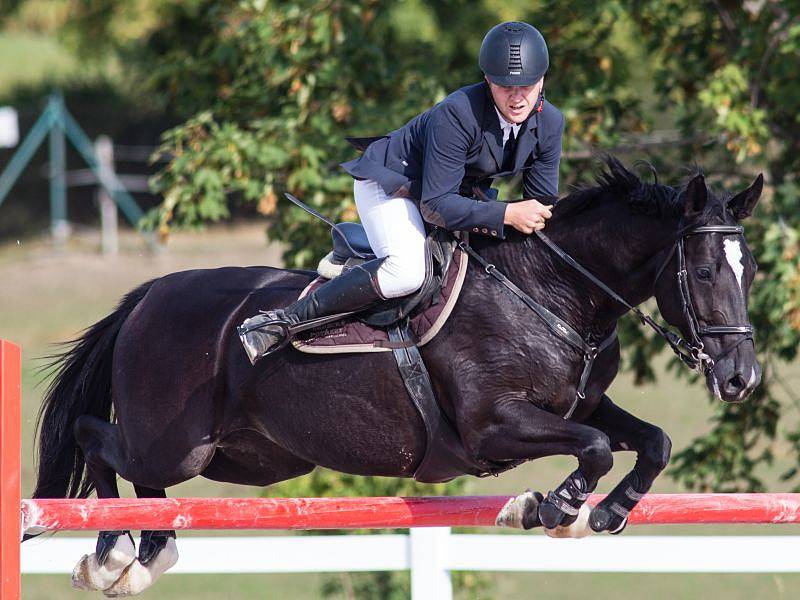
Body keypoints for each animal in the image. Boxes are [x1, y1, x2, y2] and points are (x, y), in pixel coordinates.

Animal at [29, 159, 764, 596]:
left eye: (750, 269)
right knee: (99, 441)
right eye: (704, 272)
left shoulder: (580, 403)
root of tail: (145, 297)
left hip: (249, 461)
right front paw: (549, 508)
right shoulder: (492, 426)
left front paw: (603, 514)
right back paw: (113, 554)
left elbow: (649, 441)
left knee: (142, 479)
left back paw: (147, 549)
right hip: (178, 444)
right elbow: (594, 449)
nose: (741, 379)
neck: (553, 292)